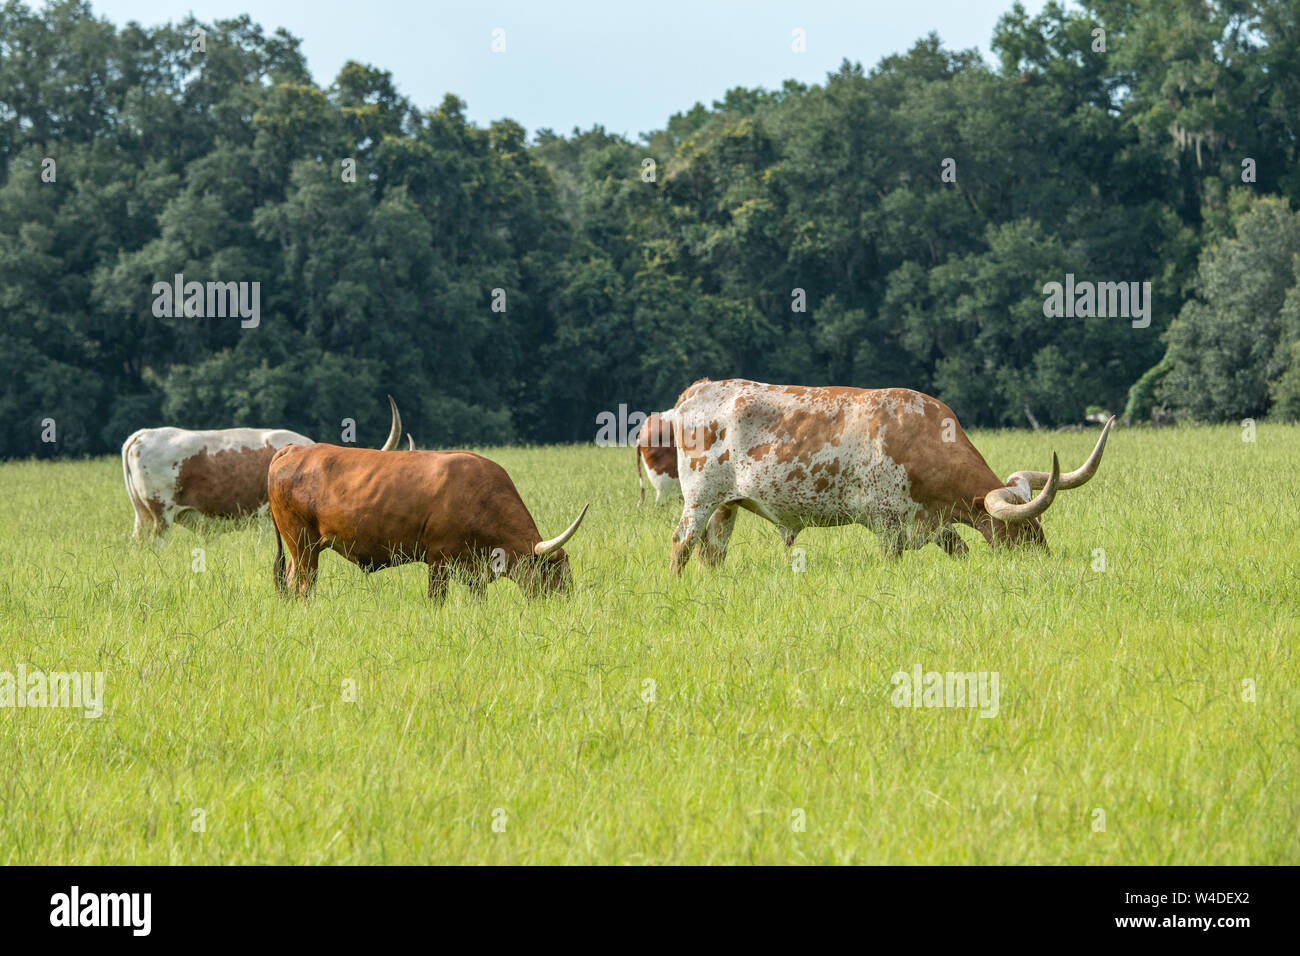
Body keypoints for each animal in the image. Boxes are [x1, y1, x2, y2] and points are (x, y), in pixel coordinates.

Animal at [268, 444, 589, 600]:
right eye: (553, 571)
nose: (565, 604)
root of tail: (295, 448)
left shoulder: (474, 570)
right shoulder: (438, 560)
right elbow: (437, 599)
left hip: (301, 548)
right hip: (303, 545)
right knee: (304, 586)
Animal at [668, 378, 1113, 572]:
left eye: (1038, 525)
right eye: (1020, 528)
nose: (1042, 560)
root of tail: (697, 388)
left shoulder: (936, 524)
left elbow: (961, 551)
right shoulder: (887, 524)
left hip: (725, 507)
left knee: (712, 553)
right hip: (698, 502)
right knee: (681, 545)